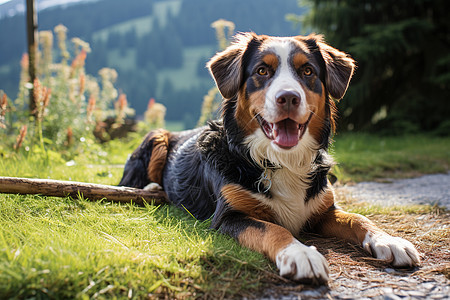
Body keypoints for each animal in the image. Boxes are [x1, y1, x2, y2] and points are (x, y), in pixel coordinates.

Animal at [118, 32, 418, 284]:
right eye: (262, 71)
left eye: (307, 71)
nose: (288, 97)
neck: (283, 161)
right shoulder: (228, 216)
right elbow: (273, 229)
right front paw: (300, 254)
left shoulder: (323, 210)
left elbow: (358, 218)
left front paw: (388, 240)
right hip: (156, 136)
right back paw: (152, 187)